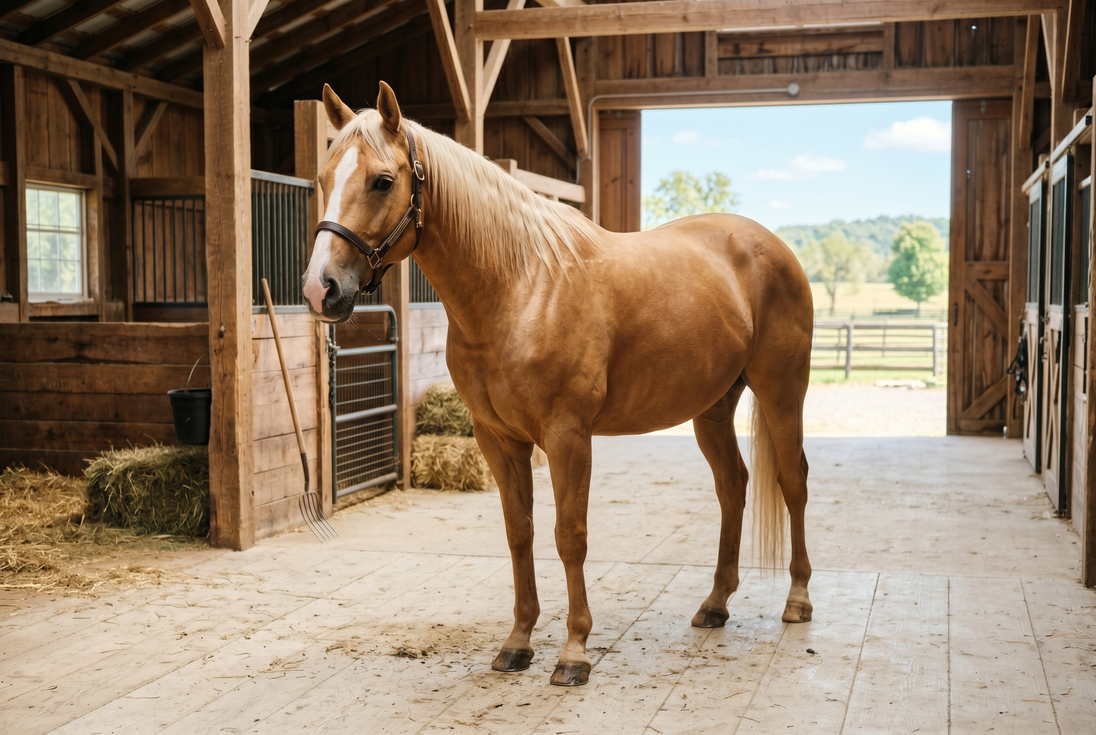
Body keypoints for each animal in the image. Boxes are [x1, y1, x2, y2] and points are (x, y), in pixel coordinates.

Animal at [302, 82, 814, 687]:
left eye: (382, 180)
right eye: (323, 178)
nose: (320, 289)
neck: (521, 287)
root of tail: (769, 245)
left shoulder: (569, 438)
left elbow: (570, 536)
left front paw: (574, 652)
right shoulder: (499, 441)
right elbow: (519, 533)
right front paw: (518, 643)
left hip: (783, 392)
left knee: (792, 481)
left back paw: (798, 599)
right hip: (712, 407)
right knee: (732, 486)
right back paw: (715, 604)